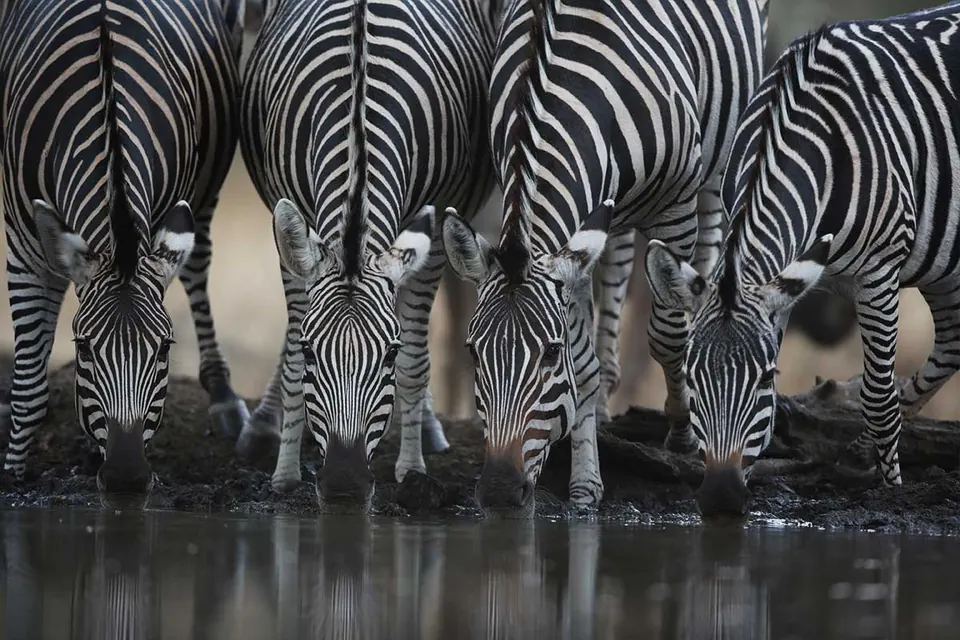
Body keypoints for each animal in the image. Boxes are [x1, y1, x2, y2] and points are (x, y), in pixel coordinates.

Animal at [0, 0, 245, 502]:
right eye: (83, 348)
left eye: (165, 349)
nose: (126, 480)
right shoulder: (24, 244)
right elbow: (30, 382)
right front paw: (14, 470)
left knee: (198, 262)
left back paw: (224, 396)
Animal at [234, 0, 498, 510]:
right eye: (312, 351)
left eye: (388, 355)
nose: (344, 486)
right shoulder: (291, 235)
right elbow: (292, 358)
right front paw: (284, 475)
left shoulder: (433, 240)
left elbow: (416, 360)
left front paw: (412, 470)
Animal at [442, 0, 768, 515]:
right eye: (474, 351)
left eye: (549, 354)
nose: (497, 493)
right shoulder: (572, 239)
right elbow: (586, 364)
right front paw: (585, 481)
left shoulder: (674, 206)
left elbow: (668, 337)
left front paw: (683, 432)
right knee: (615, 266)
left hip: (717, 157)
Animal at [644, 2, 960, 518]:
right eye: (691, 377)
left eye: (766, 379)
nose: (720, 497)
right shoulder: (790, 278)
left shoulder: (879, 274)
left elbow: (878, 398)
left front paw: (892, 491)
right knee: (953, 340)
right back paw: (856, 454)